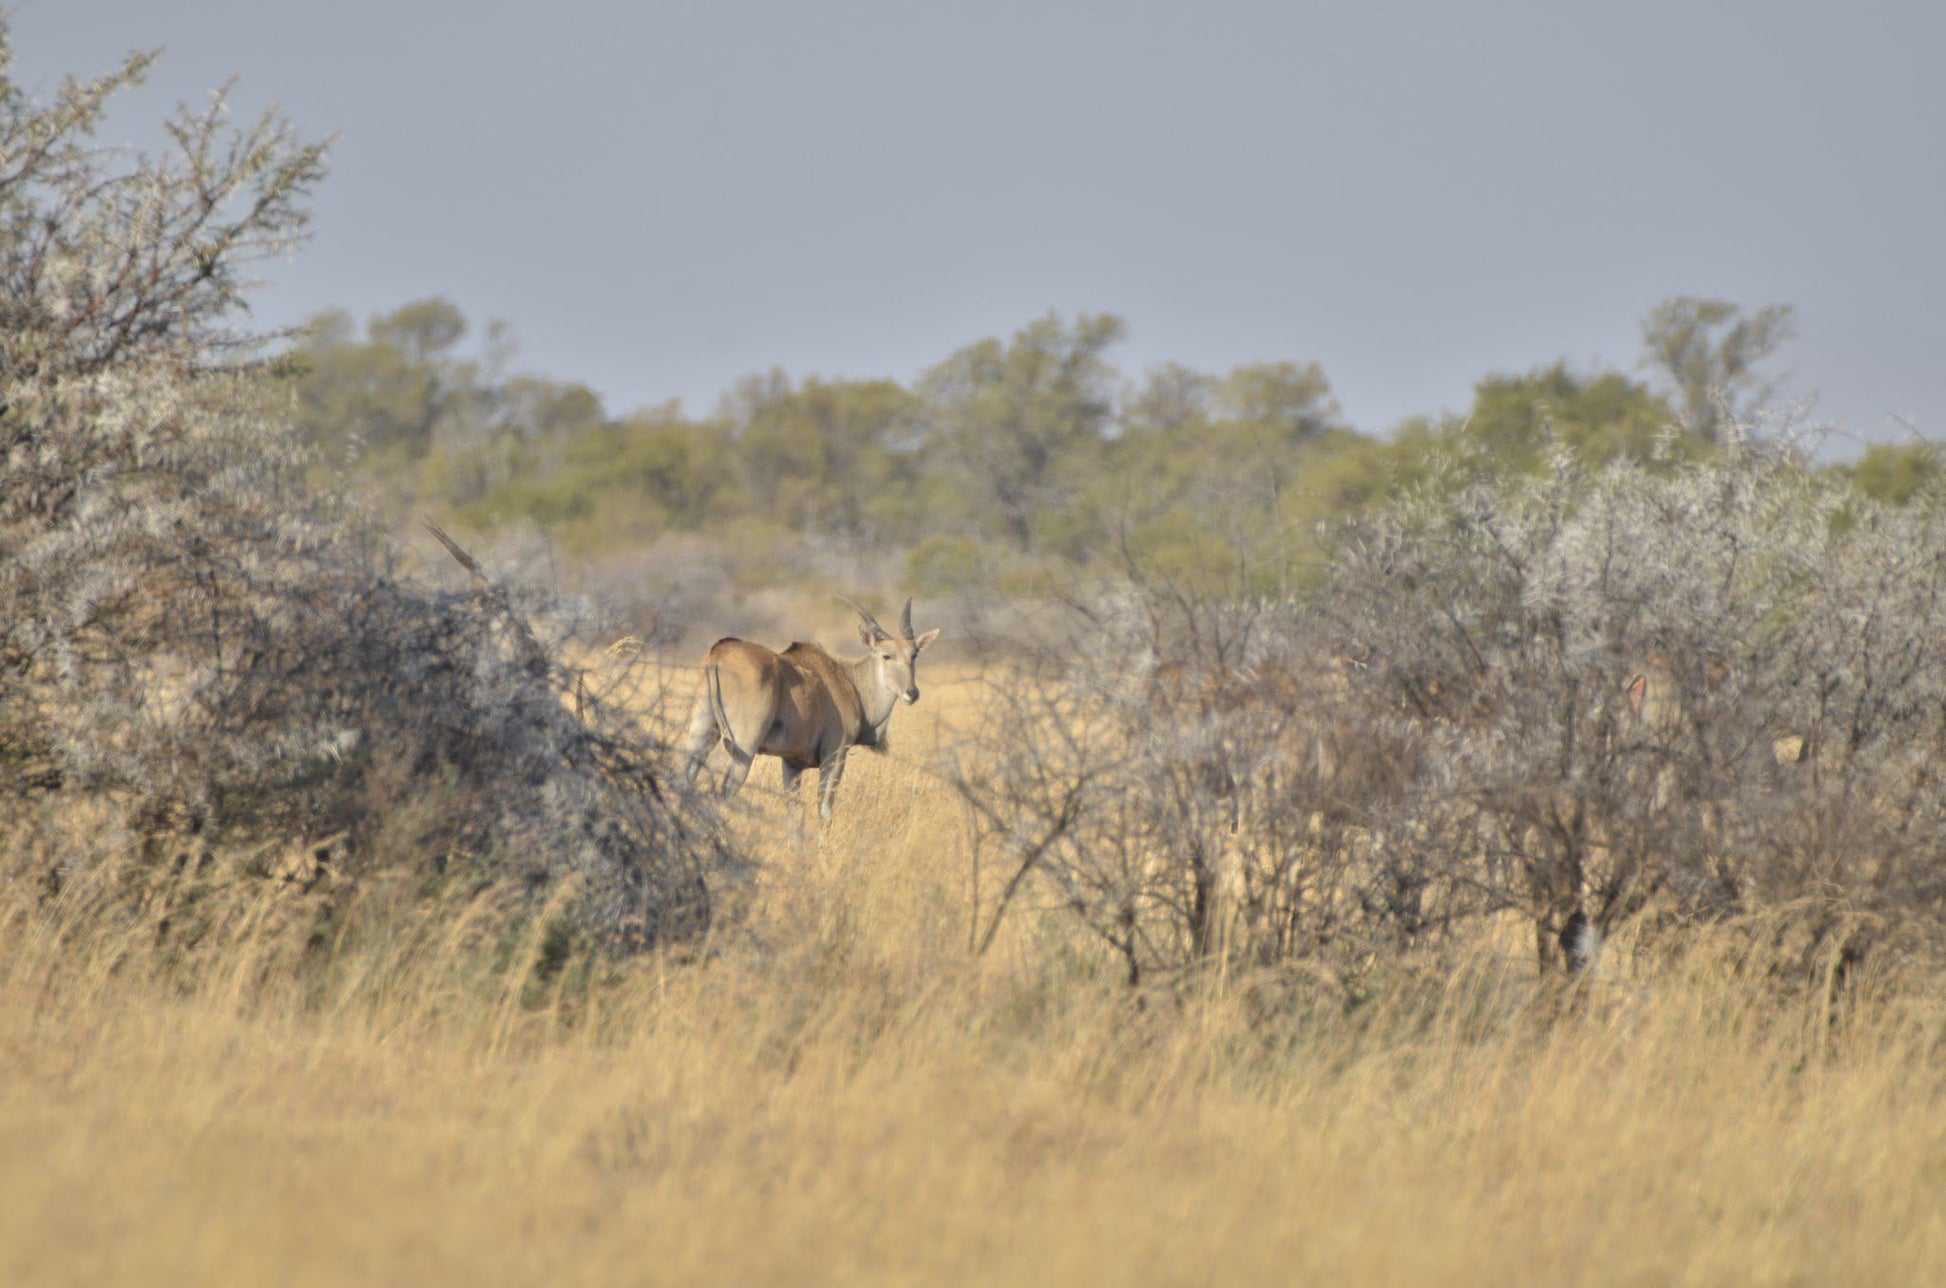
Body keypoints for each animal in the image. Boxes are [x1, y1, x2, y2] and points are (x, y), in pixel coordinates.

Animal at [681, 603, 937, 832]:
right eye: (886, 656)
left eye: (914, 655)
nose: (912, 693)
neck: (849, 681)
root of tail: (720, 654)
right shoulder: (835, 755)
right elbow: (824, 812)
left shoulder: (792, 763)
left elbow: (795, 815)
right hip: (744, 748)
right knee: (723, 794)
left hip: (702, 732)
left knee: (685, 780)